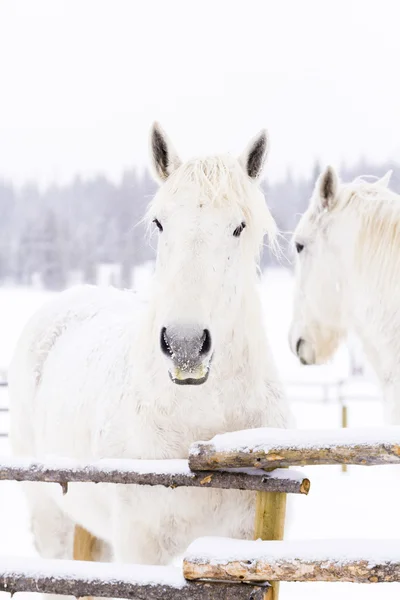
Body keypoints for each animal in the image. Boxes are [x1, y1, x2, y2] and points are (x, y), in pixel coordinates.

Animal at [9, 123, 290, 576]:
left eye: (239, 227)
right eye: (160, 223)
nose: (185, 345)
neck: (199, 426)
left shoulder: (250, 540)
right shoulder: (141, 547)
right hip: (50, 517)